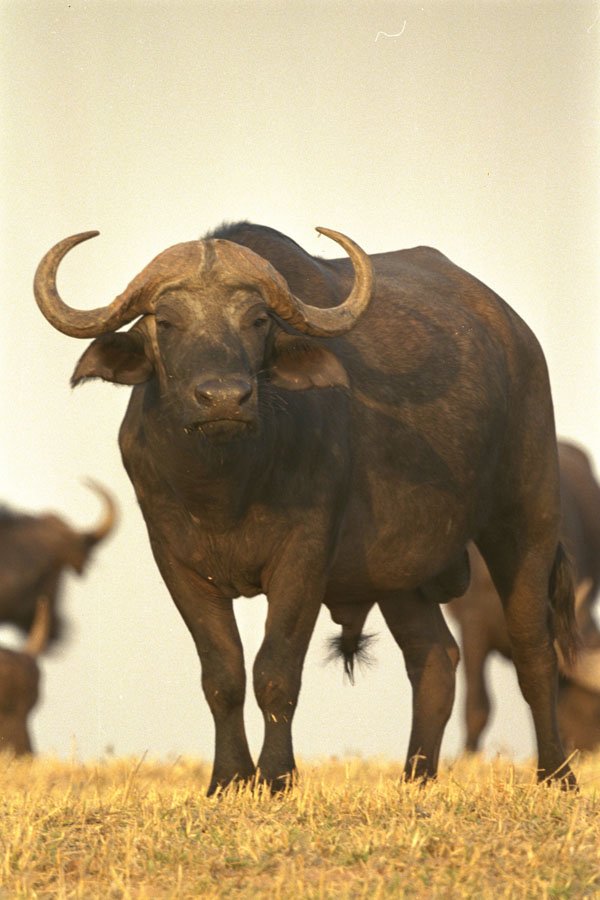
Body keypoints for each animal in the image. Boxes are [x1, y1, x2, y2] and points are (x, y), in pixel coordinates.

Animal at [34, 221, 577, 792]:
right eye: (166, 321)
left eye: (256, 321)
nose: (224, 398)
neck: (226, 486)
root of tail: (518, 337)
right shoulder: (178, 563)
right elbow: (222, 673)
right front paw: (229, 779)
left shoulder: (304, 556)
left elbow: (275, 669)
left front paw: (276, 777)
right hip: (400, 576)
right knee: (434, 658)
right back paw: (415, 778)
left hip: (527, 519)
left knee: (534, 650)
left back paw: (556, 774)